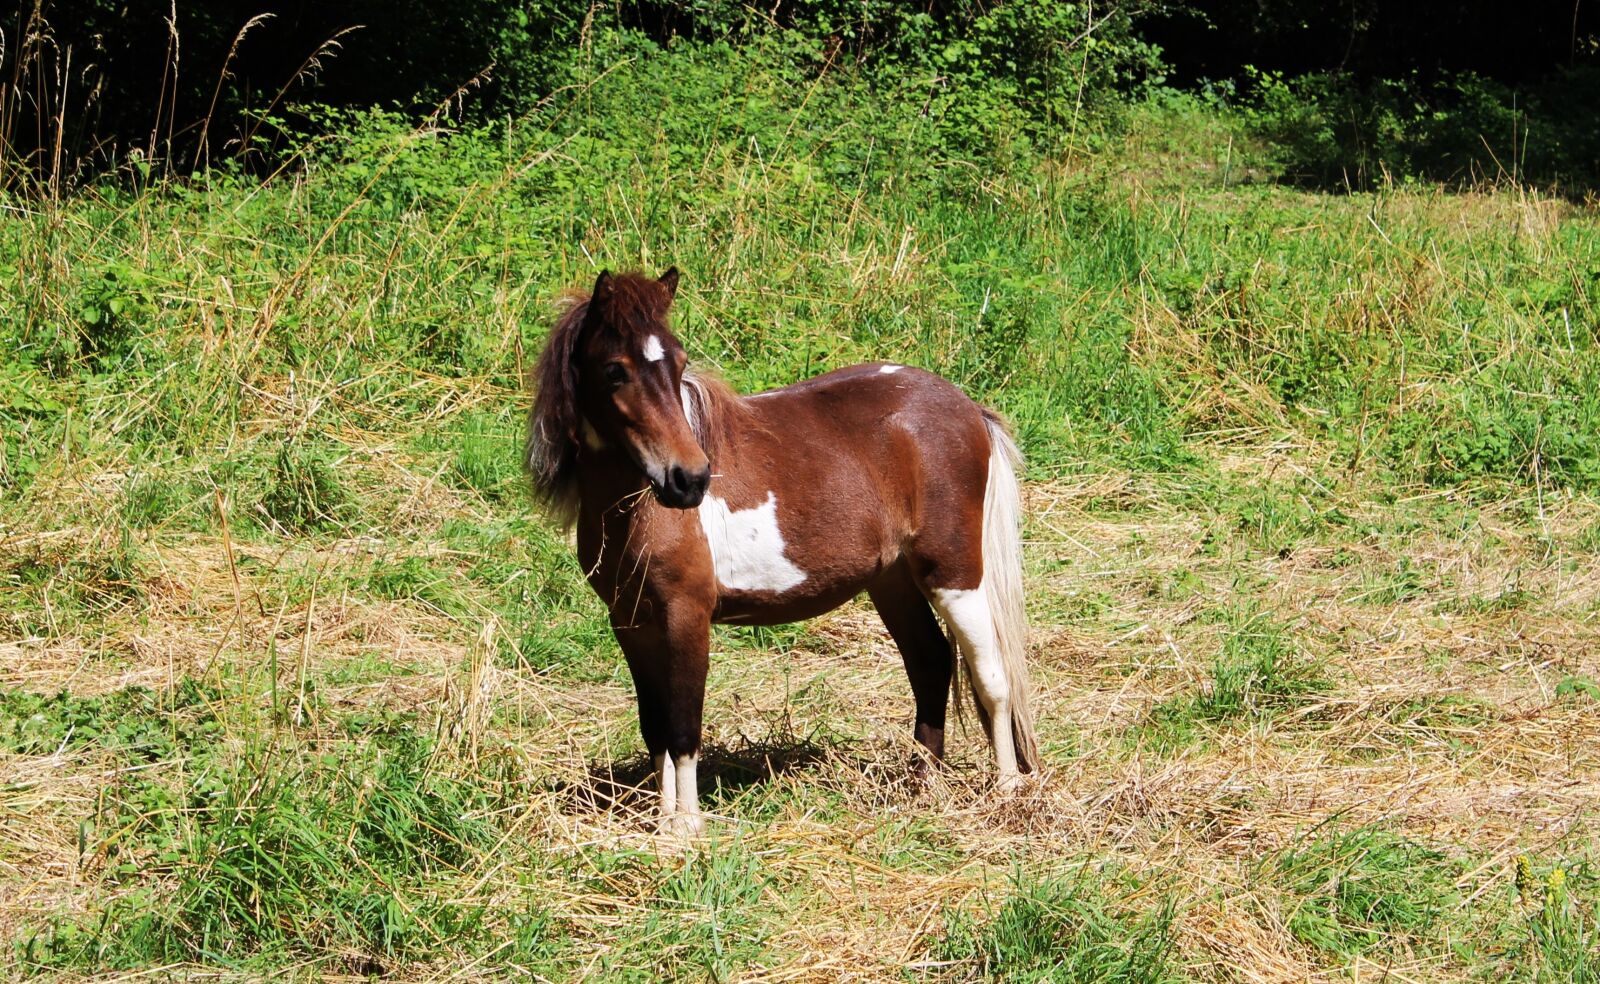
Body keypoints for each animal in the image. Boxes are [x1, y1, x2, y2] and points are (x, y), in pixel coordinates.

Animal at [526, 268, 1038, 834]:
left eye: (679, 362)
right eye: (615, 370)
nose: (689, 480)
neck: (640, 508)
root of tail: (967, 408)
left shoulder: (686, 614)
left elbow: (683, 727)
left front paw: (688, 829)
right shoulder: (631, 621)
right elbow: (654, 726)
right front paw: (664, 824)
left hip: (955, 573)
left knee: (991, 677)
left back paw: (1007, 791)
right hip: (892, 580)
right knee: (930, 661)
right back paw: (920, 784)